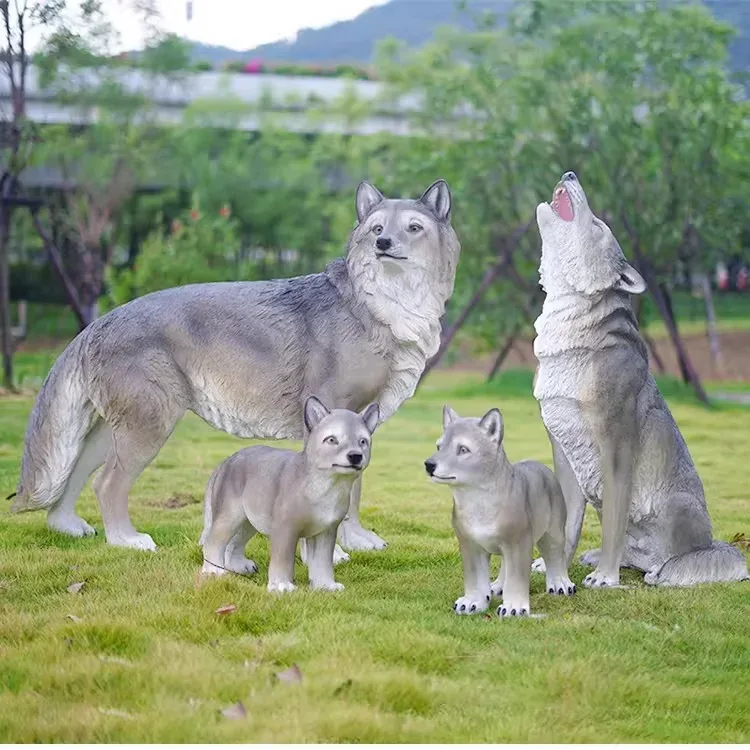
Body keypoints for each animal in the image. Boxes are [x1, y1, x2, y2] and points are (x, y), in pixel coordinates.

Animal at [11, 180, 460, 556]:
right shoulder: (332, 417)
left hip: (111, 431)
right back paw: (126, 540)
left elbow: (355, 490)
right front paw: (330, 552)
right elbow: (337, 492)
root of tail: (97, 323)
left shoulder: (363, 428)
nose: (383, 243)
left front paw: (358, 541)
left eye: (413, 228)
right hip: (149, 427)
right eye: (376, 228)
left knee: (75, 473)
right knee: (107, 483)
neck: (384, 305)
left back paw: (68, 527)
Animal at [200, 397, 379, 592]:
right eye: (332, 439)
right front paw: (281, 586)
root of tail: (226, 461)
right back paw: (214, 572)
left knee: (233, 543)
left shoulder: (326, 531)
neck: (325, 486)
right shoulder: (285, 528)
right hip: (230, 515)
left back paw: (240, 568)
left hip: (248, 521)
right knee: (213, 541)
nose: (355, 456)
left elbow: (322, 561)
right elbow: (283, 559)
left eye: (363, 441)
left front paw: (326, 585)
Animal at [425, 405, 575, 617]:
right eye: (439, 447)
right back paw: (497, 586)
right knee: (506, 565)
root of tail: (540, 465)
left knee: (555, 556)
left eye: (463, 449)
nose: (429, 465)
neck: (477, 500)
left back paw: (560, 584)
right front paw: (472, 602)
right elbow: (475, 578)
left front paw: (514, 607)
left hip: (552, 532)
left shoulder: (519, 543)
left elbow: (517, 577)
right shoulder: (470, 545)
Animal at [533, 170, 748, 587]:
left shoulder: (617, 443)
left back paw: (659, 569)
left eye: (598, 225)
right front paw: (557, 571)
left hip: (679, 508)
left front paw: (604, 578)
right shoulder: (563, 450)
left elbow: (614, 520)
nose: (569, 173)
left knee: (684, 559)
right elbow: (568, 524)